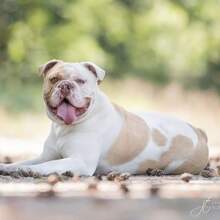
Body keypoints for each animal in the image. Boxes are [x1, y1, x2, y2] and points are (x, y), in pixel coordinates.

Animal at [0, 59, 209, 175]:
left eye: (81, 81)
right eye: (54, 79)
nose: (65, 85)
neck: (66, 127)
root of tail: (198, 130)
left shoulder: (80, 161)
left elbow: (49, 165)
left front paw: (30, 171)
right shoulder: (45, 155)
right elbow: (24, 161)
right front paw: (8, 167)